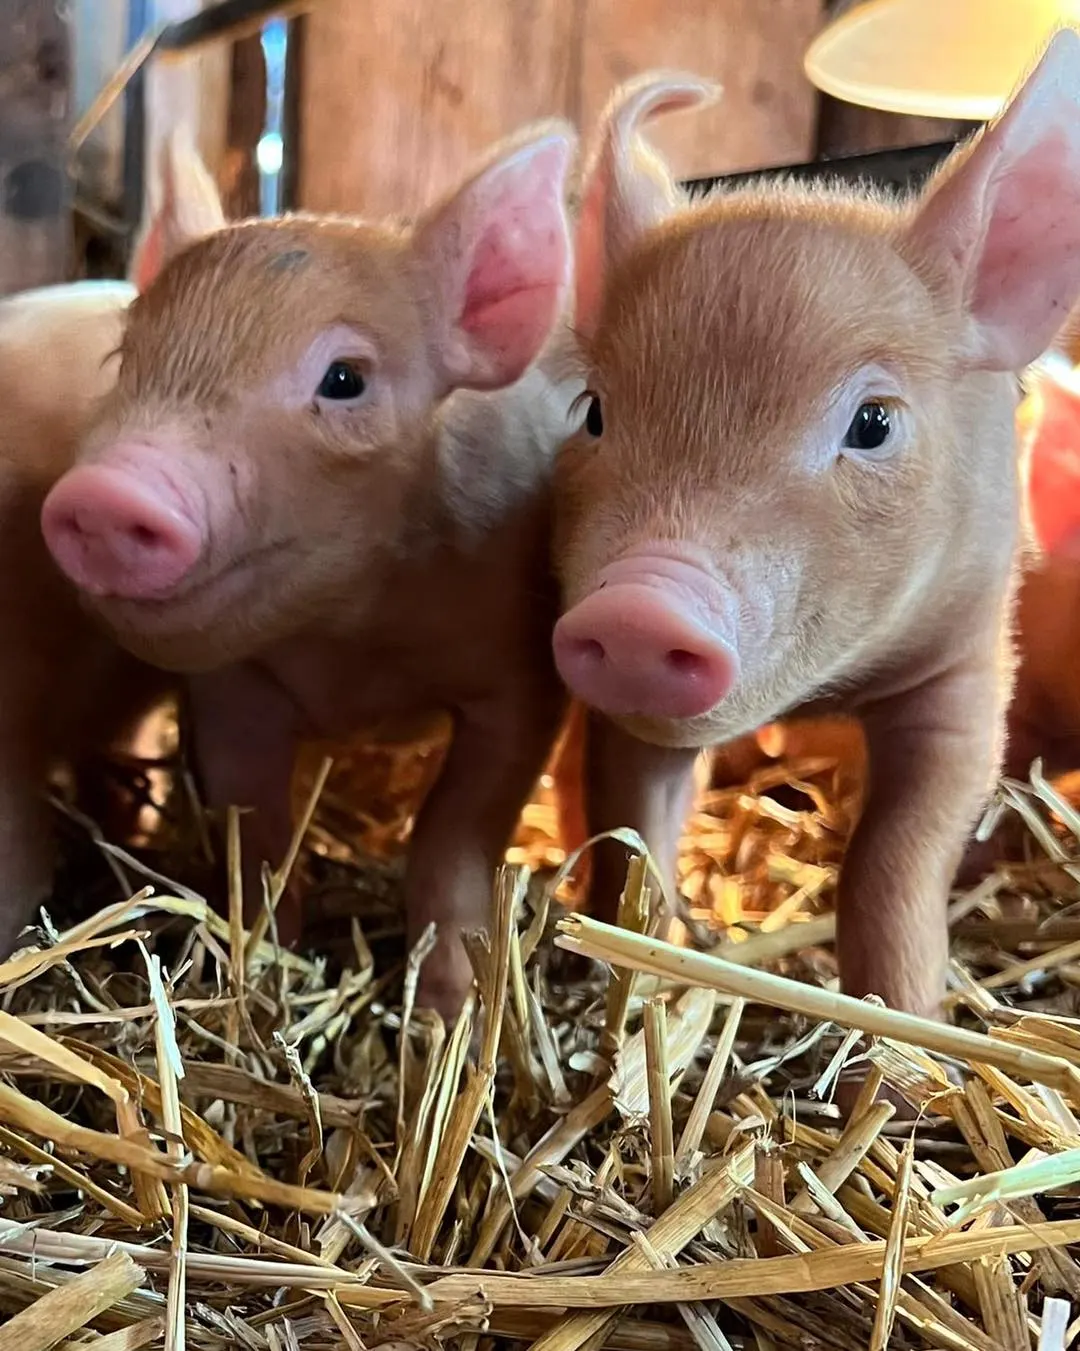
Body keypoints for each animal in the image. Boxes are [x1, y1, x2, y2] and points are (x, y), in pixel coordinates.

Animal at [40, 120, 586, 1016]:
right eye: (125, 359)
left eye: (345, 378)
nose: (104, 495)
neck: (351, 641)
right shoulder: (231, 690)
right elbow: (258, 830)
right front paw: (265, 967)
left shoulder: (520, 681)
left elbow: (455, 831)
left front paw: (446, 1007)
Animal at [550, 31, 1080, 1022]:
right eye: (593, 413)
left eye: (871, 422)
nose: (638, 607)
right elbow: (637, 818)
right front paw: (626, 968)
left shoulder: (966, 663)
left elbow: (899, 852)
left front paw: (907, 1025)